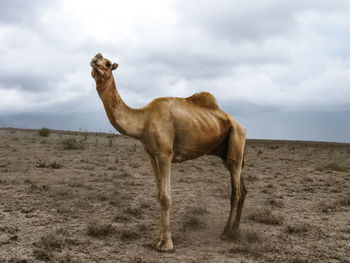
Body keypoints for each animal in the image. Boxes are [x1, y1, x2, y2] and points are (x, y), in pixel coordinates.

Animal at [91, 53, 247, 252]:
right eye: (100, 58)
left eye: (108, 63)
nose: (96, 58)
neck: (143, 120)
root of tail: (240, 124)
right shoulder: (152, 154)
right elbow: (159, 195)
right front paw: (157, 239)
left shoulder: (165, 154)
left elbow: (165, 197)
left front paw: (166, 244)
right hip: (228, 152)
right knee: (243, 188)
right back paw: (236, 230)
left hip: (236, 139)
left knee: (236, 191)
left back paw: (226, 233)